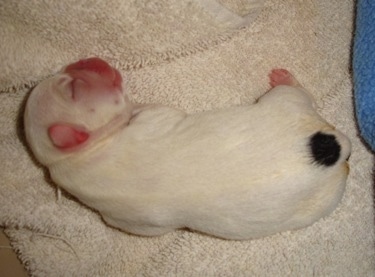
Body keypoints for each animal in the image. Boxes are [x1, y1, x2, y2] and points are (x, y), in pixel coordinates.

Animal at [23, 58, 352, 239]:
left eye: (67, 80)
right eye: (73, 90)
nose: (92, 60)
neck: (71, 157)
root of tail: (335, 149)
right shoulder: (127, 217)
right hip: (319, 191)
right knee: (297, 93)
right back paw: (287, 79)